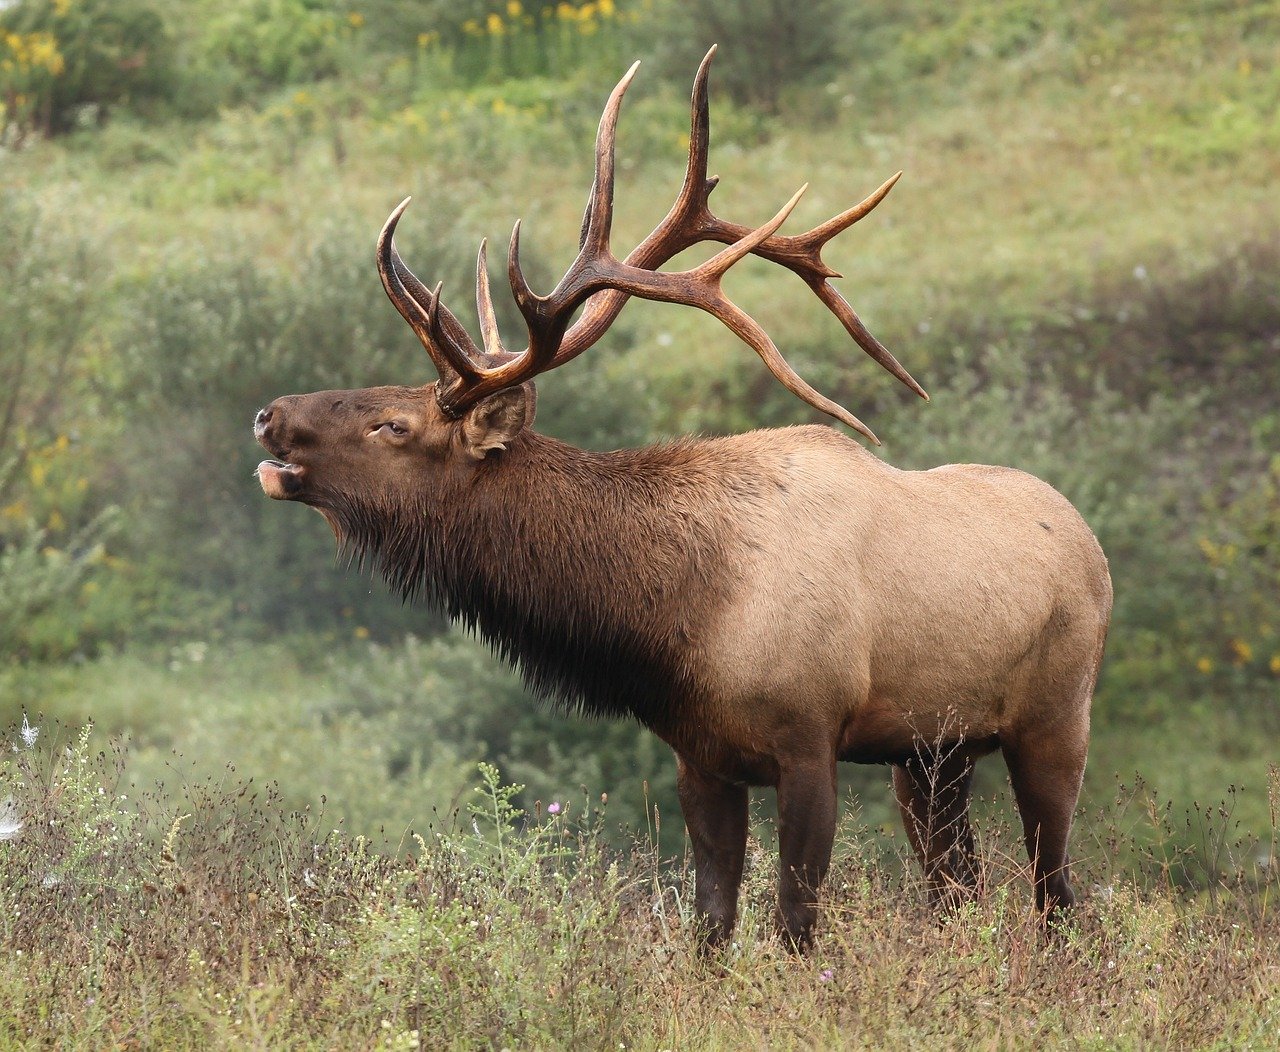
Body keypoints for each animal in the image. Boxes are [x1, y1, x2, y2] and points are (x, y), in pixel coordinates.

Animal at [252, 51, 1111, 957]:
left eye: (395, 424)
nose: (269, 413)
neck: (681, 615)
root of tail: (1090, 542)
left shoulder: (810, 737)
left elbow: (795, 923)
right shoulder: (698, 755)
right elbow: (710, 926)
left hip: (1054, 720)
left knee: (1056, 891)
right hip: (931, 755)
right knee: (960, 888)